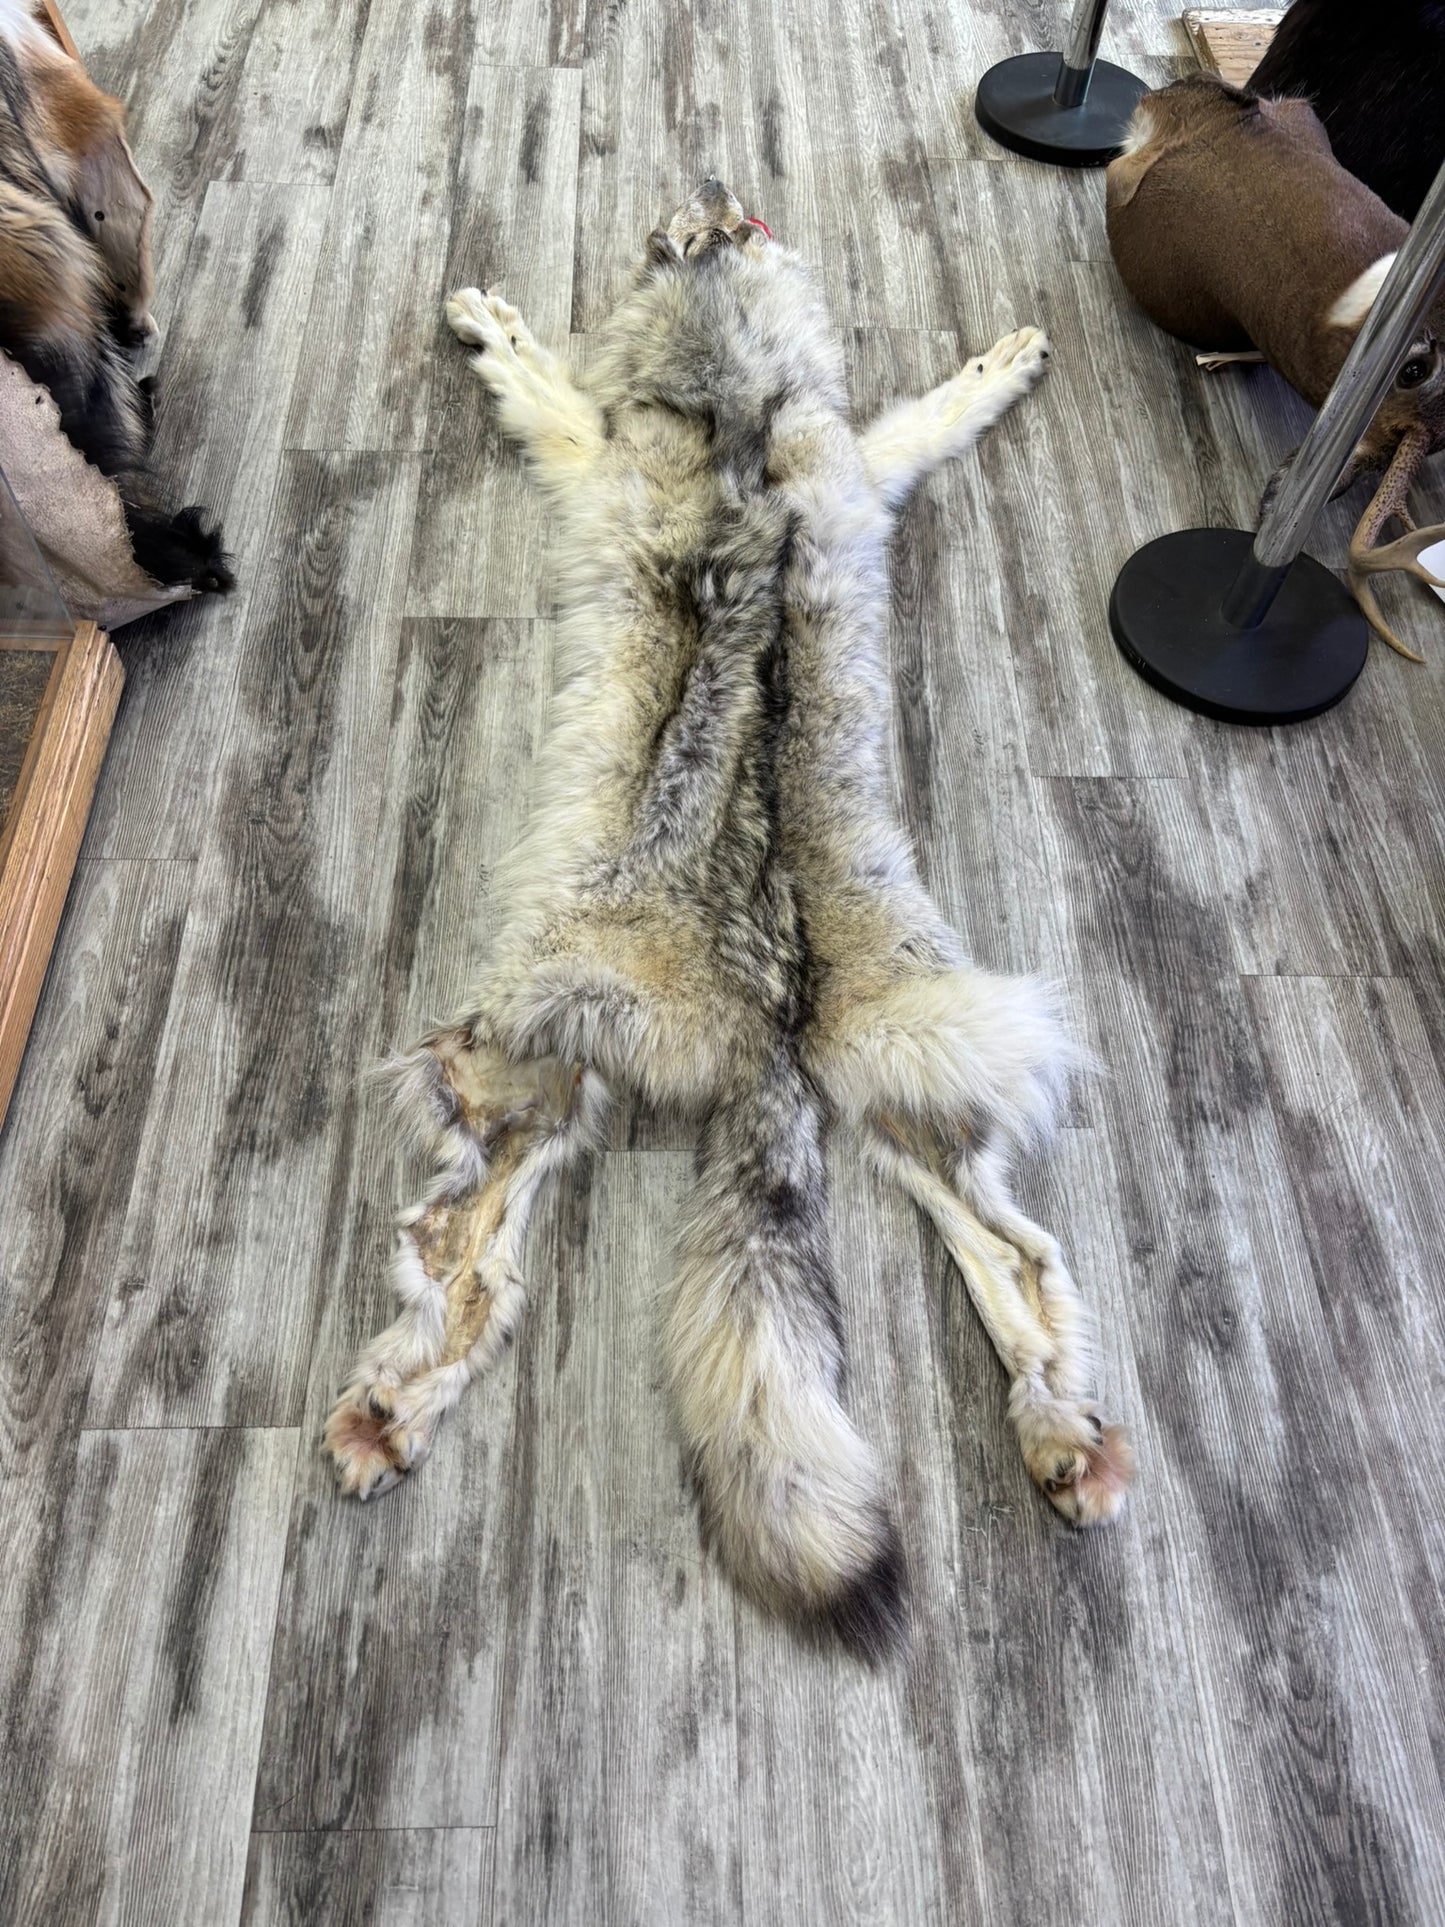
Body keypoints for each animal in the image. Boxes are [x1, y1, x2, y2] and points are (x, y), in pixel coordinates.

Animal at [324, 180, 1134, 1655]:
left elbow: (549, 380)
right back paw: (1065, 1435)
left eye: (722, 224)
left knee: (459, 1247)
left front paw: (493, 325)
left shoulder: (609, 447)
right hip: (894, 1091)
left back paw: (384, 1404)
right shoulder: (851, 463)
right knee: (1021, 1261)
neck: (738, 395)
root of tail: (767, 1015)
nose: (704, 186)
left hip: (514, 1049)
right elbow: (921, 418)